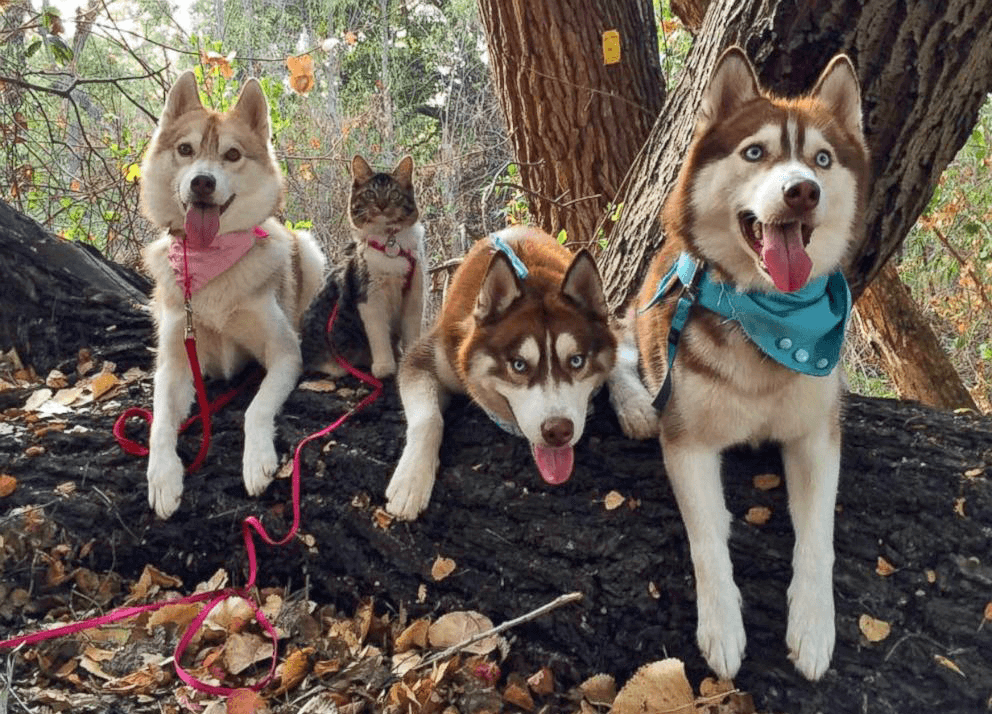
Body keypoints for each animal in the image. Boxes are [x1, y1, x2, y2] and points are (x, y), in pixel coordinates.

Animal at [140, 72, 324, 516]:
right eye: (185, 149)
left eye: (233, 154)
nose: (202, 182)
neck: (210, 262)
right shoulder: (175, 362)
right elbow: (160, 422)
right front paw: (163, 476)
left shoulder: (285, 353)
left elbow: (255, 409)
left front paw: (256, 460)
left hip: (308, 249)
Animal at [296, 156, 424, 378]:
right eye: (370, 194)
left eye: (394, 194)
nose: (381, 205)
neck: (391, 243)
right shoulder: (370, 295)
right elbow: (379, 334)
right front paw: (384, 367)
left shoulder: (414, 295)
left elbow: (412, 333)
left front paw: (408, 362)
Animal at [384, 225, 616, 520]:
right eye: (518, 365)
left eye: (576, 361)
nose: (558, 431)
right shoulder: (426, 355)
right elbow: (429, 418)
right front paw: (411, 481)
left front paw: (637, 410)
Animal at [612, 47, 868, 680]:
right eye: (755, 152)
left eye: (822, 160)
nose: (802, 191)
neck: (771, 320)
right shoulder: (688, 442)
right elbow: (709, 539)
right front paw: (722, 626)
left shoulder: (816, 435)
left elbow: (818, 537)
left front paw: (813, 626)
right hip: (644, 320)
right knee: (618, 353)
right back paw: (634, 406)